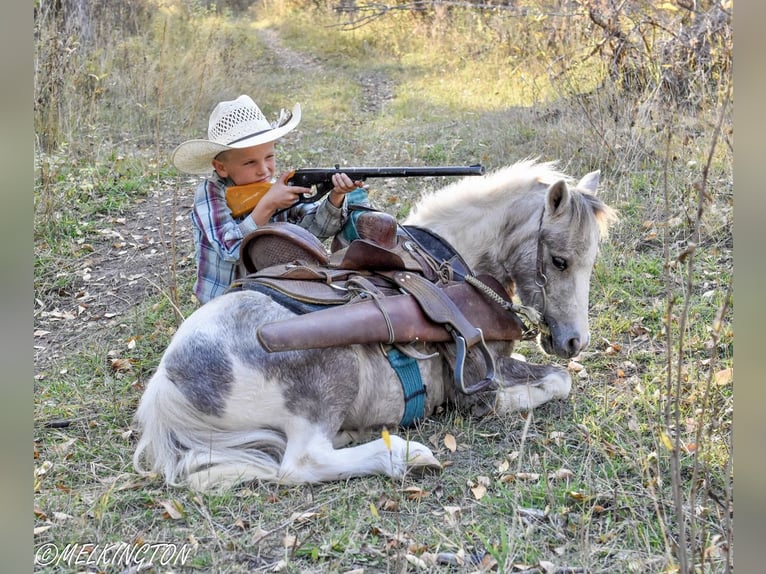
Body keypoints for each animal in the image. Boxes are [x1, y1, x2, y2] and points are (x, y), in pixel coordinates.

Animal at [132, 160, 616, 492]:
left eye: (593, 258)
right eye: (560, 261)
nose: (575, 341)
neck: (456, 265)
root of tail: (165, 391)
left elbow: (560, 378)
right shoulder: (483, 367)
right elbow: (556, 383)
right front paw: (498, 403)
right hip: (330, 377)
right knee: (302, 462)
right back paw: (406, 455)